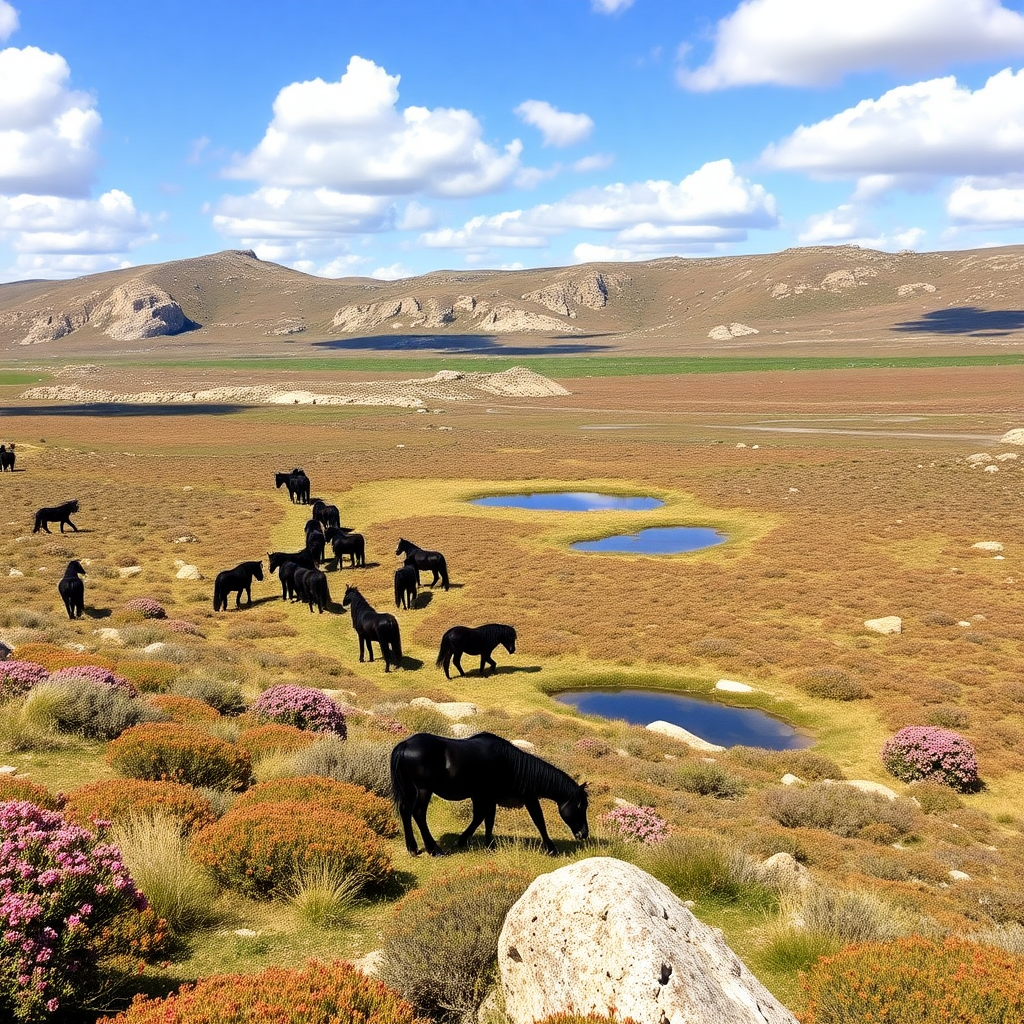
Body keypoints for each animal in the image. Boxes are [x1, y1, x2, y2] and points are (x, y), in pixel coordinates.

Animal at [387, 729, 589, 856]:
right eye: (581, 806)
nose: (584, 834)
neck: (512, 765)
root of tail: (405, 745)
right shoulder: (524, 798)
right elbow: (538, 821)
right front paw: (551, 848)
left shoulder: (482, 796)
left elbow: (480, 817)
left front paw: (465, 840)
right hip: (424, 790)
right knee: (419, 814)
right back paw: (433, 849)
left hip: (411, 790)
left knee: (405, 811)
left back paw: (412, 847)